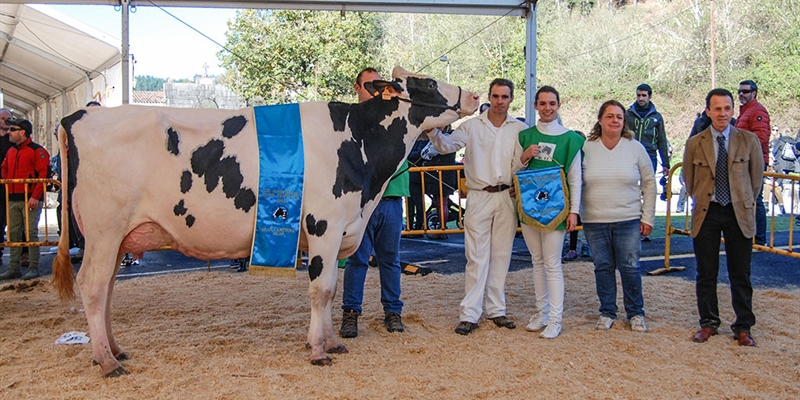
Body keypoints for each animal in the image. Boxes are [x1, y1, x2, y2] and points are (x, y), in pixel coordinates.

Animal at [51, 67, 482, 376]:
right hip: (104, 230)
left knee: (107, 289)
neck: (358, 143)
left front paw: (333, 342)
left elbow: (333, 288)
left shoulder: (342, 231)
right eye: (429, 82)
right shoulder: (324, 226)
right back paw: (108, 362)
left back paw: (113, 350)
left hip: (116, 237)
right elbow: (321, 290)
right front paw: (318, 351)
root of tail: (81, 114)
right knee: (93, 287)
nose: (475, 96)